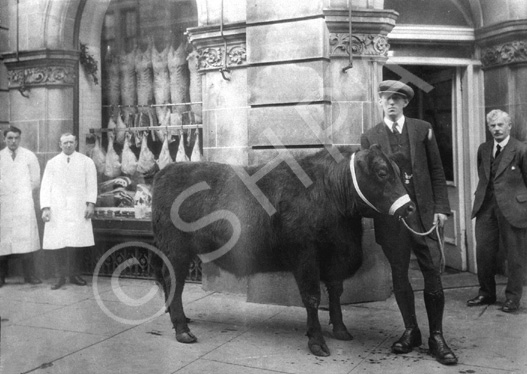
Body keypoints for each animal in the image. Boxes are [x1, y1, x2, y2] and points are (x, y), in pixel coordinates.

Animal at [151, 144, 414, 356]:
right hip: (175, 251)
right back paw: (183, 330)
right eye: (382, 173)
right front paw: (317, 342)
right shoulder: (305, 256)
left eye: (400, 173)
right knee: (173, 282)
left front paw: (340, 330)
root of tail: (168, 170)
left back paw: (179, 320)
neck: (330, 191)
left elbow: (335, 293)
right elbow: (312, 297)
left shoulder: (334, 259)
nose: (409, 208)